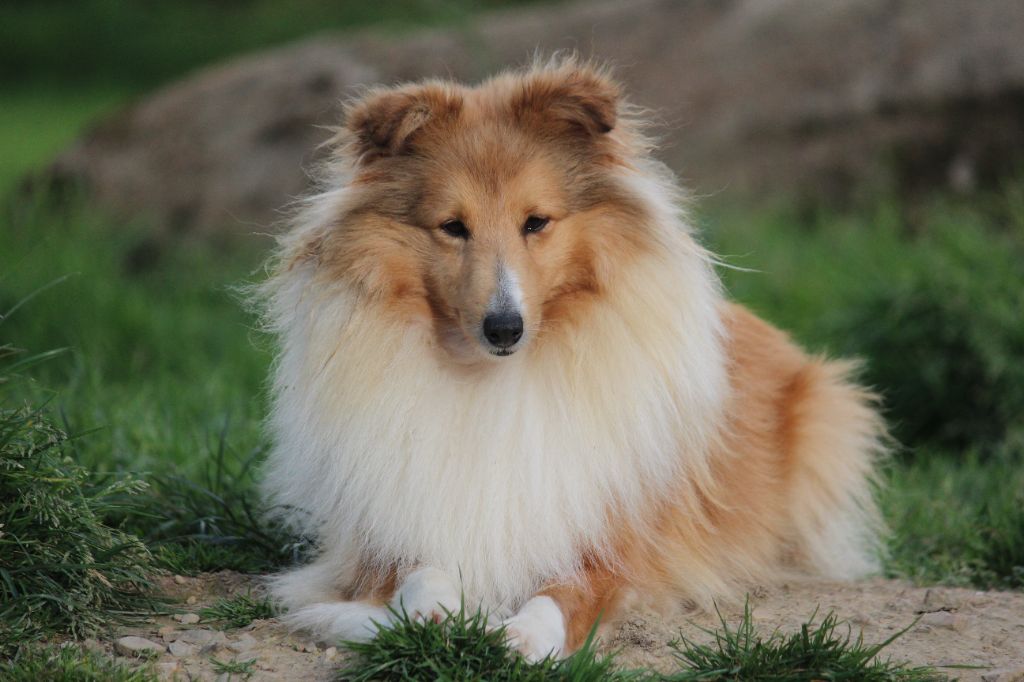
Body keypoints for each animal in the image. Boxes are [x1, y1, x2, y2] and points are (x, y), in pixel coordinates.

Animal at [258, 54, 888, 659]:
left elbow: (564, 591)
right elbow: (421, 578)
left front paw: (523, 637)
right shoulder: (383, 541)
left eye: (536, 221)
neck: (492, 377)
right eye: (452, 227)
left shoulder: (613, 542)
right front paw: (442, 618)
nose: (504, 327)